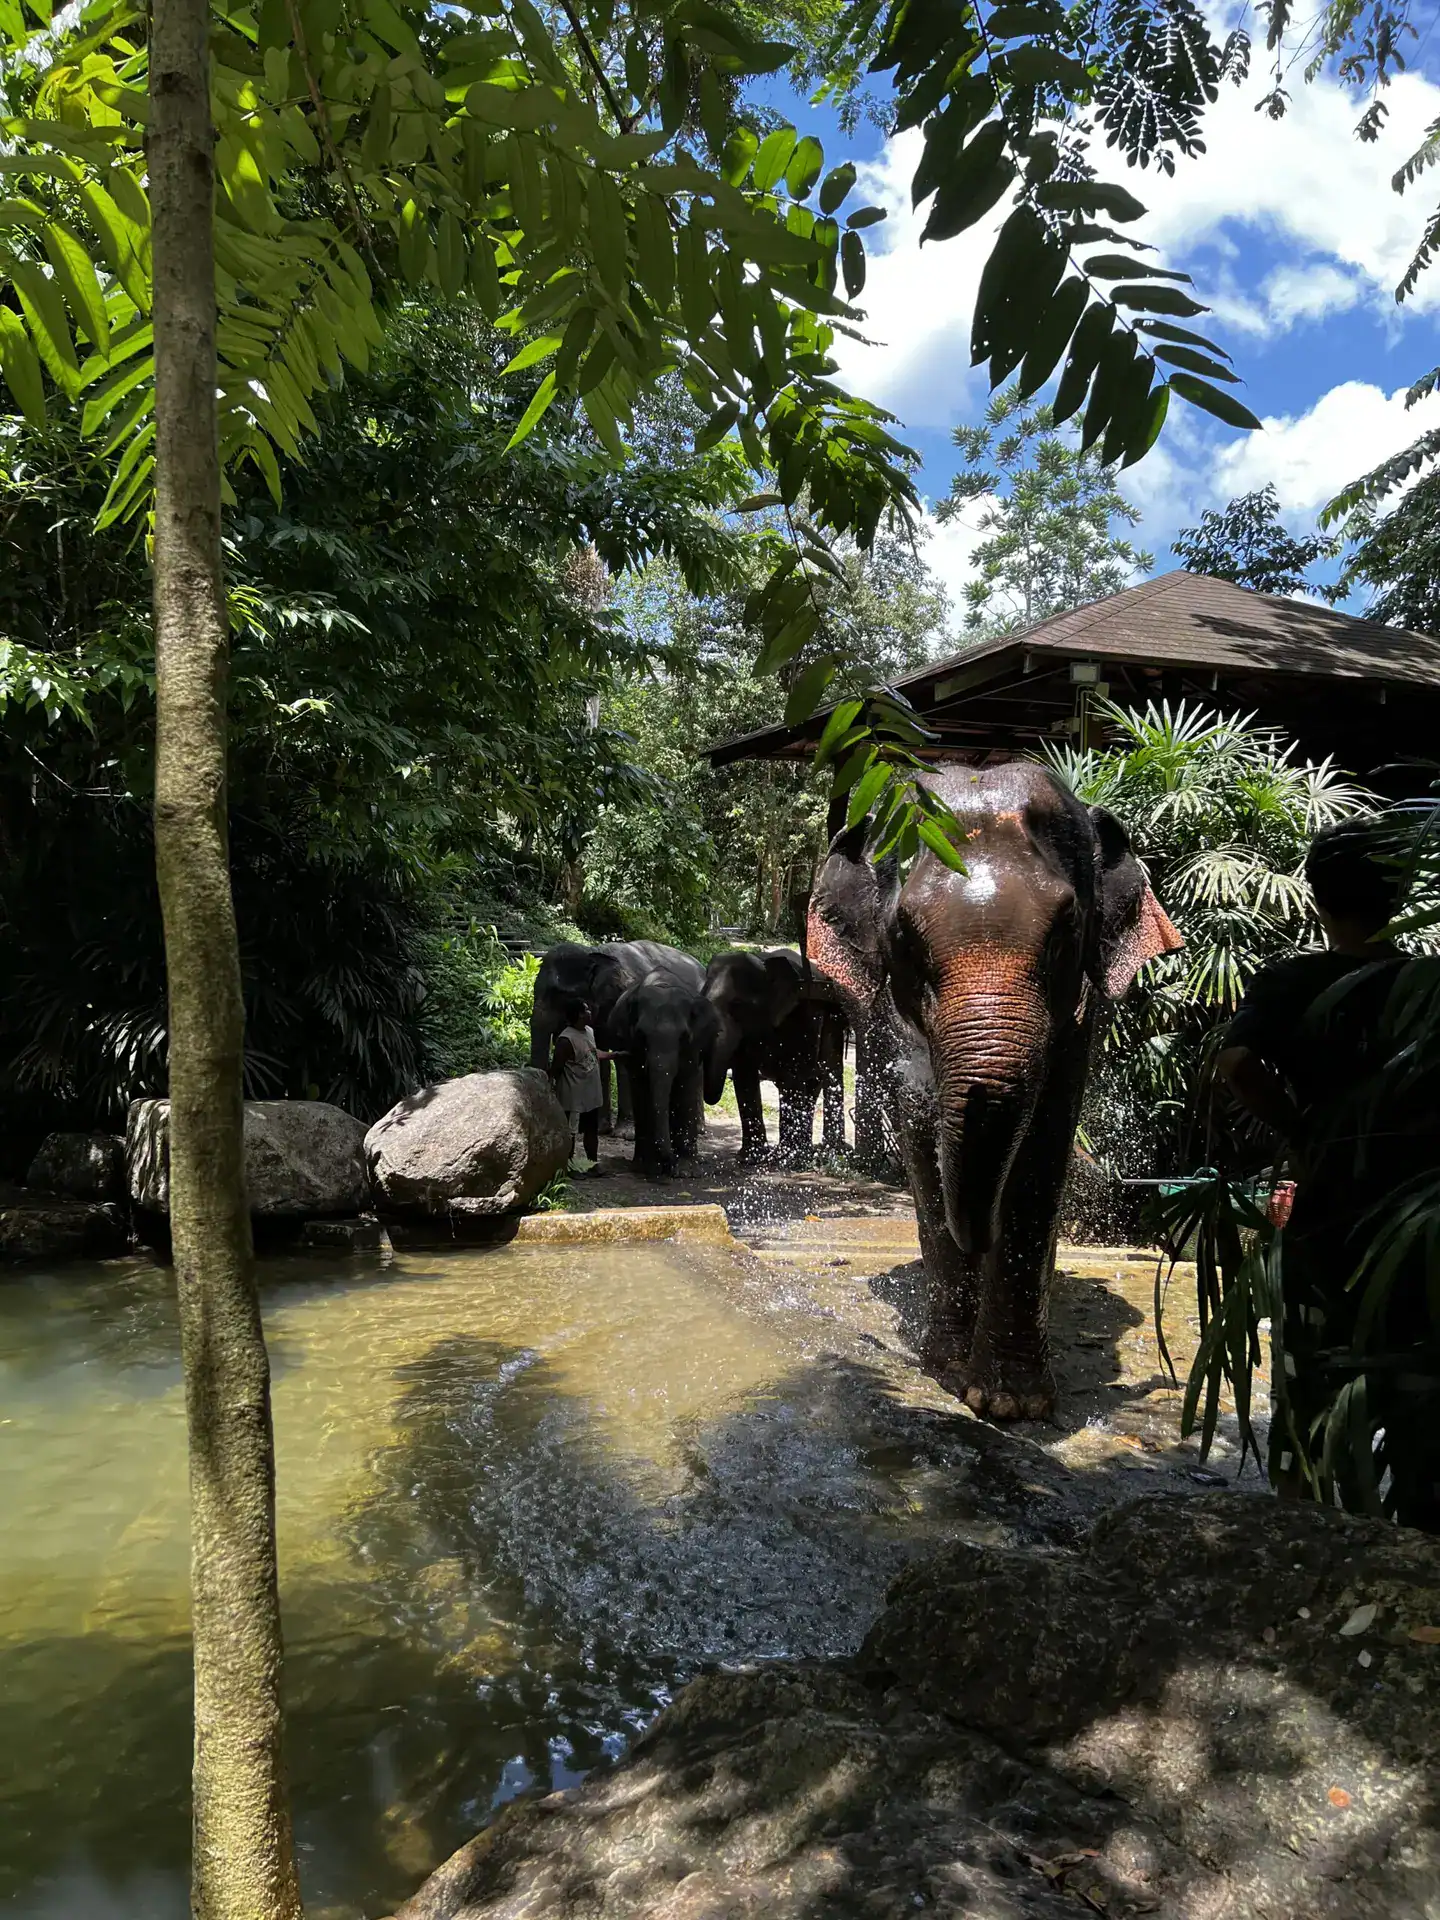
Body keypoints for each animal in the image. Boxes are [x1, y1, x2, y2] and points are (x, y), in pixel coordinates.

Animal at [529, 940, 704, 1131]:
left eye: (561, 995)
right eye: (534, 991)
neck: (592, 952)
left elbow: (624, 1060)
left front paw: (624, 1132)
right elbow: (600, 1055)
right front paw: (601, 1128)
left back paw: (698, 1128)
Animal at [607, 971, 719, 1175]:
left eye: (683, 1037)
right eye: (641, 1036)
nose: (669, 1163)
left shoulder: (694, 1046)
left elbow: (685, 1086)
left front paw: (685, 1172)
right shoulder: (630, 1044)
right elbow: (642, 1091)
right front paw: (649, 1168)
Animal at [701, 948, 846, 1164]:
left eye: (738, 1005)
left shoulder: (800, 1016)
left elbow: (791, 1076)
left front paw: (788, 1161)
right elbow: (744, 1076)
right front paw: (750, 1159)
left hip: (834, 1017)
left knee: (825, 1073)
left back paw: (828, 1153)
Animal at [810, 760, 1182, 1422]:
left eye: (1065, 930)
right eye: (904, 935)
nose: (980, 1237)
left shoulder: (1078, 1022)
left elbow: (1043, 1138)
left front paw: (1012, 1403)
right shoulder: (888, 1018)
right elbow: (921, 1125)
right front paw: (947, 1369)